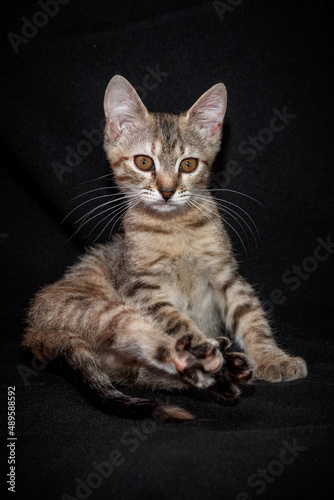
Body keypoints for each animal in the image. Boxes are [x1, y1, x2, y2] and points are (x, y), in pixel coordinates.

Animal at [22, 73, 306, 418]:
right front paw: (203, 344)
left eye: (189, 165)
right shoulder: (142, 288)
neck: (175, 229)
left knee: (149, 372)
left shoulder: (226, 275)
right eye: (144, 162)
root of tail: (33, 329)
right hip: (104, 309)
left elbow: (250, 315)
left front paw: (272, 357)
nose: (168, 191)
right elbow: (179, 324)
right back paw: (215, 362)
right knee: (145, 339)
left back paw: (221, 375)